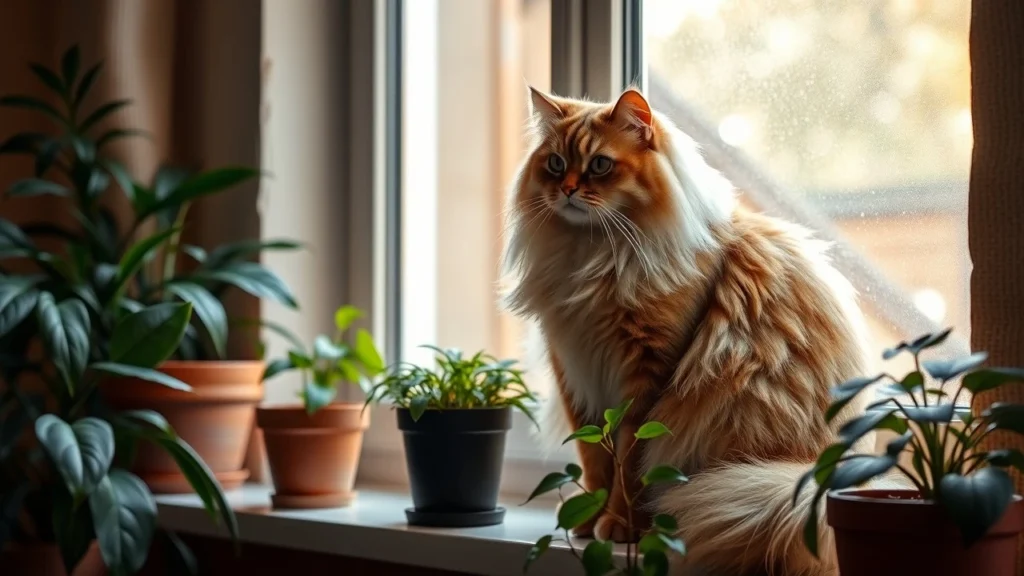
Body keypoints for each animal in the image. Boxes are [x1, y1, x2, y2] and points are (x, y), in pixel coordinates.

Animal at [499, 86, 876, 573]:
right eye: (556, 164)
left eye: (599, 165)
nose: (566, 190)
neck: (594, 258)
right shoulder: (576, 371)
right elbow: (595, 458)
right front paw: (587, 519)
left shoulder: (647, 376)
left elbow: (628, 463)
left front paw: (618, 525)